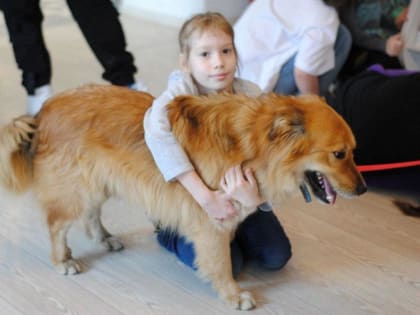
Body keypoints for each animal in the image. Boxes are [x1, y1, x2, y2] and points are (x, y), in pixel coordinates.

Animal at [0, 84, 366, 312]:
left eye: (353, 151)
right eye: (338, 154)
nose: (363, 189)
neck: (252, 146)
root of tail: (42, 113)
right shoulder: (210, 220)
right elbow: (221, 261)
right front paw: (233, 294)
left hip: (98, 184)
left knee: (91, 216)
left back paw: (105, 238)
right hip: (77, 190)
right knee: (57, 225)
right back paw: (63, 260)